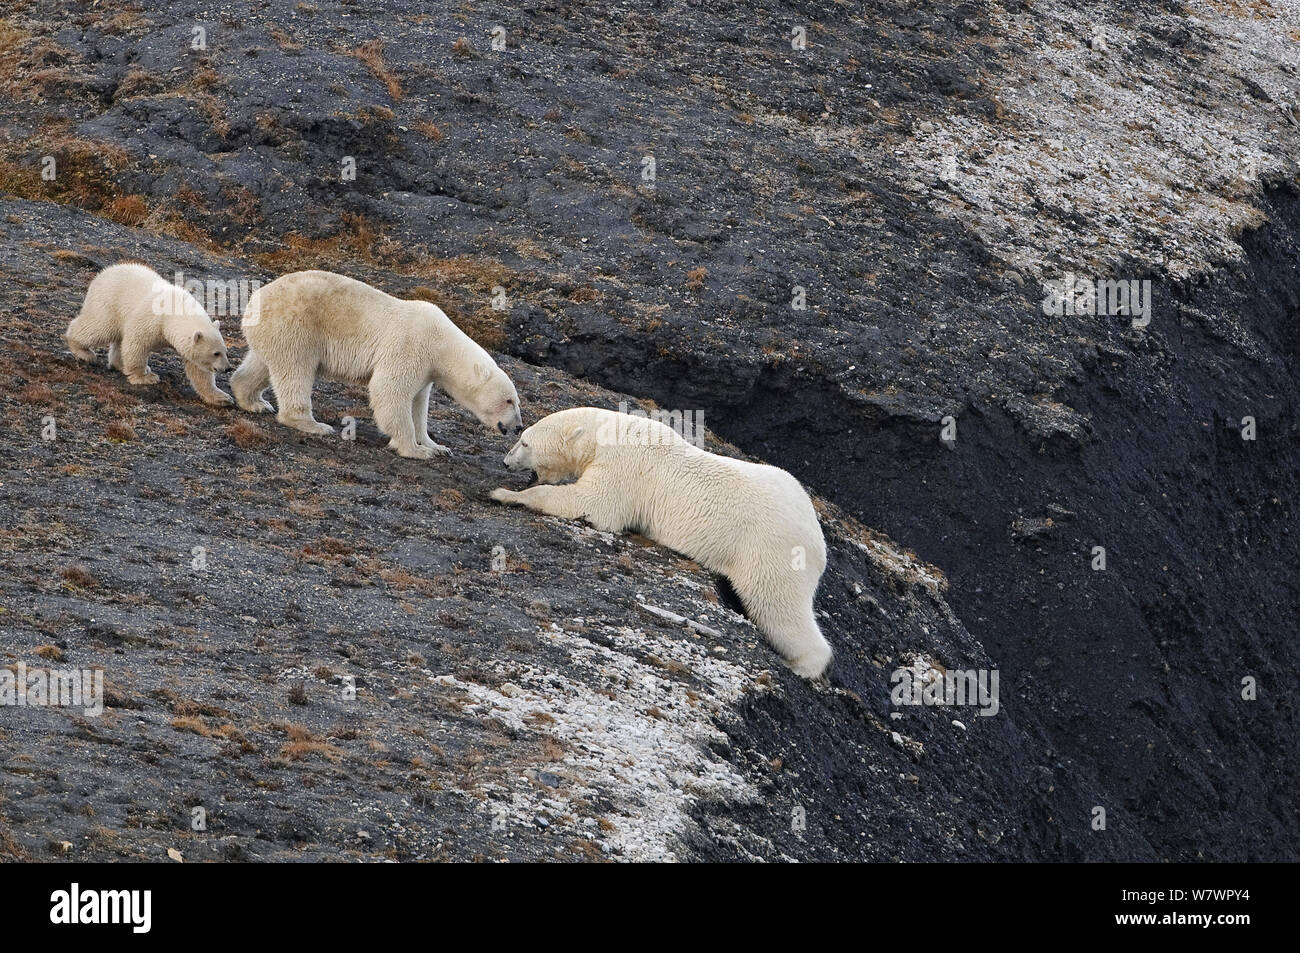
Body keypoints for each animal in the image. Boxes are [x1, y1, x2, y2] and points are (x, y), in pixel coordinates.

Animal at [64, 262, 233, 403]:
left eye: (225, 351)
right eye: (216, 353)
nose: (227, 368)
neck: (176, 309)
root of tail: (103, 273)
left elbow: (199, 369)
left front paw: (222, 398)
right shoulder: (152, 319)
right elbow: (137, 344)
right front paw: (145, 378)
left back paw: (120, 364)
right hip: (108, 304)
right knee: (99, 328)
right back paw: (84, 352)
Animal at [233, 269, 522, 460]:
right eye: (509, 400)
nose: (518, 426)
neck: (442, 341)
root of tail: (254, 300)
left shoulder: (426, 369)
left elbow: (418, 403)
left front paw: (437, 446)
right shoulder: (411, 345)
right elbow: (390, 390)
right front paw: (416, 450)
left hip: (273, 331)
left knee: (263, 364)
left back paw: (254, 401)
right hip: (296, 325)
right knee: (296, 370)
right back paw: (312, 424)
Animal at [488, 405, 832, 681]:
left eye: (524, 441)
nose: (505, 462)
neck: (609, 434)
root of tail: (818, 539)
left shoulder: (624, 468)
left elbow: (595, 504)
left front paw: (505, 494)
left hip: (769, 548)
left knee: (776, 604)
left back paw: (803, 665)